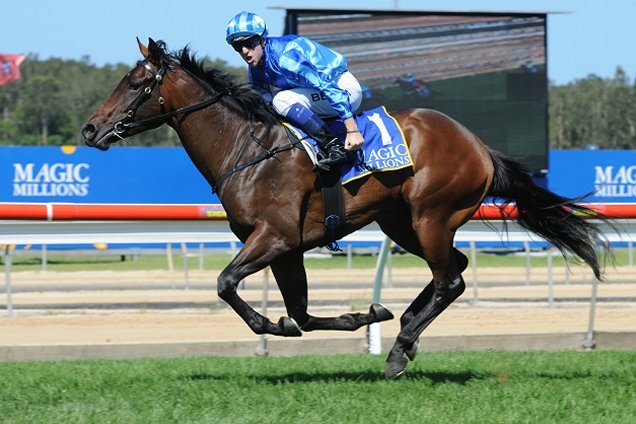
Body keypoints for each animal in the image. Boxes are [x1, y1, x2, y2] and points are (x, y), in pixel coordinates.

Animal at [83, 39, 608, 378]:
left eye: (136, 83)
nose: (90, 129)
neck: (247, 149)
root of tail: (479, 146)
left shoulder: (275, 236)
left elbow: (226, 283)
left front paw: (268, 325)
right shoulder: (286, 247)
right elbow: (300, 312)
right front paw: (360, 316)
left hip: (431, 215)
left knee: (450, 279)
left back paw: (399, 350)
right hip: (401, 223)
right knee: (452, 270)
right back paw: (405, 328)